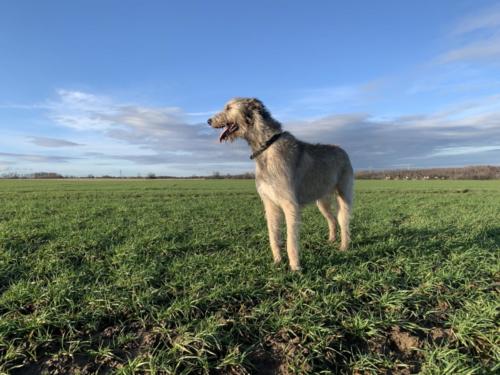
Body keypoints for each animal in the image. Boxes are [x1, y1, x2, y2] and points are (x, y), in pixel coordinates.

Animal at [209, 98, 354, 272]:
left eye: (229, 108)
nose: (208, 121)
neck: (266, 147)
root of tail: (342, 150)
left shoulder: (290, 205)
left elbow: (291, 240)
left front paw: (295, 267)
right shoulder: (270, 204)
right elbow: (273, 235)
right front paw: (277, 261)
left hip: (344, 194)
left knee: (343, 220)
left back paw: (344, 247)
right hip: (322, 199)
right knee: (332, 220)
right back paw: (331, 240)